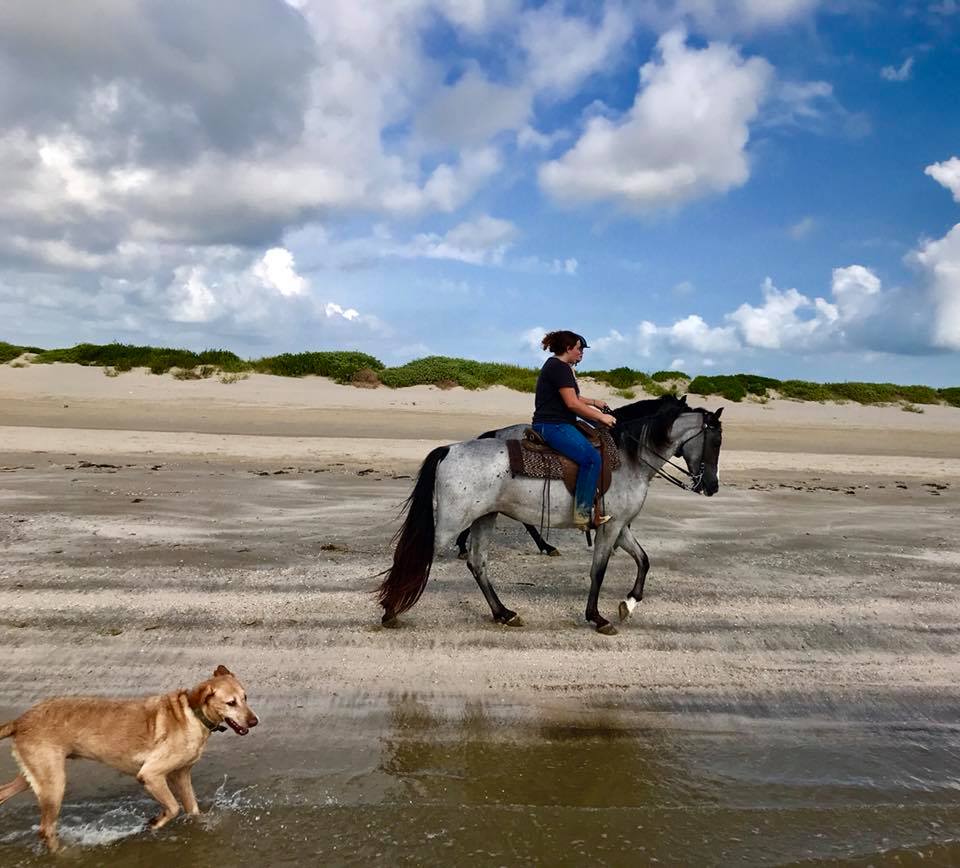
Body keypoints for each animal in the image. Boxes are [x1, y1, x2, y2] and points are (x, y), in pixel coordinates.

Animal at [0, 668, 258, 852]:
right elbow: (173, 807)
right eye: (231, 702)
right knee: (46, 829)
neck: (193, 715)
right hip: (54, 784)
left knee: (6, 795)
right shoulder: (150, 774)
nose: (254, 721)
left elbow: (192, 810)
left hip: (36, 777)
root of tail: (19, 721)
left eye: (246, 698)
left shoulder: (181, 775)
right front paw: (155, 823)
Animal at [376, 396, 720, 636]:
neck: (629, 457)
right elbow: (598, 571)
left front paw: (630, 602)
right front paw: (597, 618)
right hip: (453, 521)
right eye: (715, 442)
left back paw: (503, 613)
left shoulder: (619, 526)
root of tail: (448, 449)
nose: (712, 486)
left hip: (485, 517)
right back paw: (391, 611)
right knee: (418, 555)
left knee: (478, 563)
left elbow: (644, 560)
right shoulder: (610, 529)